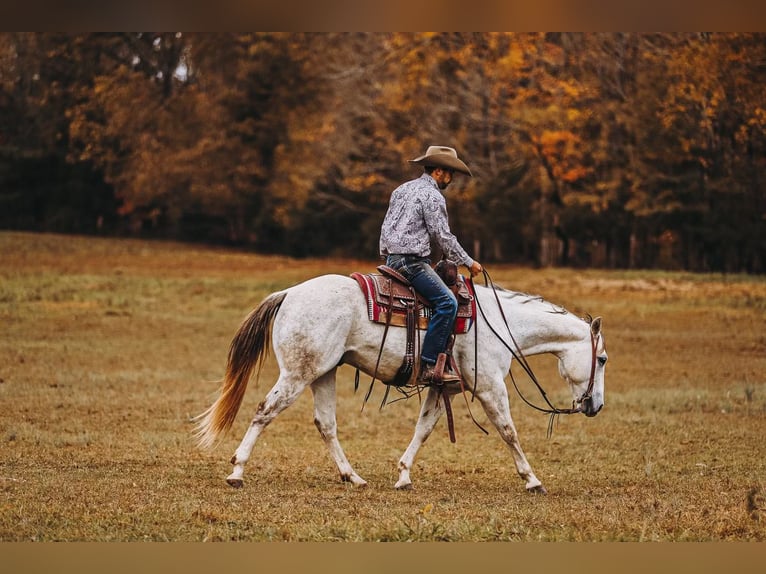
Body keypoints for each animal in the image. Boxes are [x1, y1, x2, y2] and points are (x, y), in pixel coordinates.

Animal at [195, 274, 608, 496]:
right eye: (602, 359)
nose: (596, 406)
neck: (498, 323)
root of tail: (289, 294)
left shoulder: (444, 388)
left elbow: (423, 429)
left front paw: (404, 475)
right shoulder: (489, 385)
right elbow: (509, 431)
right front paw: (533, 480)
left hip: (324, 372)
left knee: (325, 424)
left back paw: (353, 477)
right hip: (298, 373)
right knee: (264, 412)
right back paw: (236, 472)